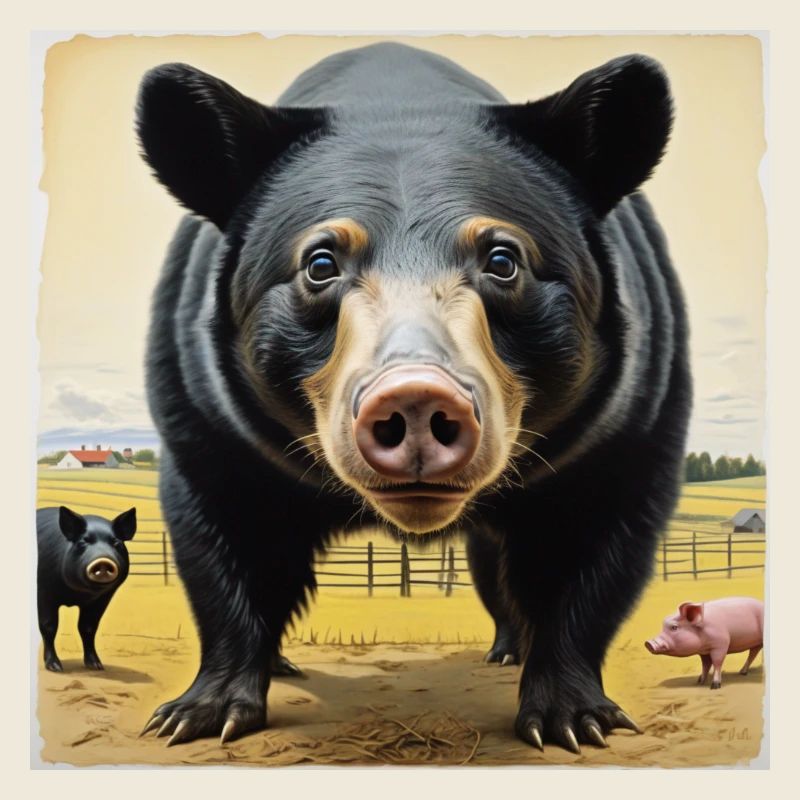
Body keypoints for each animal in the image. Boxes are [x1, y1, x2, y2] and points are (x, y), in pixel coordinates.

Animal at [136, 42, 690, 752]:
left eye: (503, 260)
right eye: (320, 264)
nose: (418, 402)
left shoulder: (627, 418)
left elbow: (592, 550)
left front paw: (573, 717)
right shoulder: (206, 415)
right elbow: (225, 539)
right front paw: (199, 713)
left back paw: (507, 650)